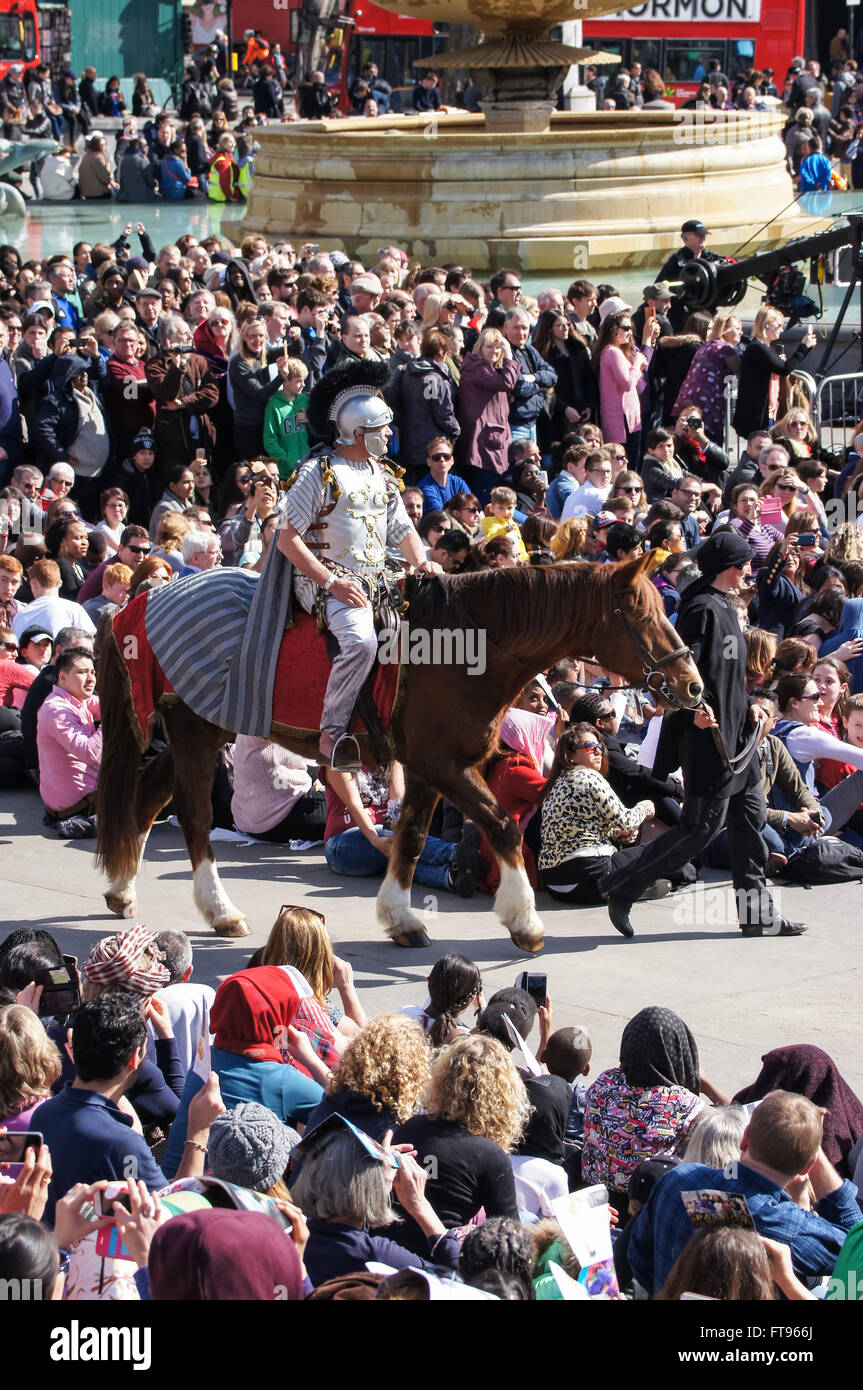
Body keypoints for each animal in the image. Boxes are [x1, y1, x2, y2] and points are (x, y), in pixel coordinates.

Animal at [95, 553, 700, 956]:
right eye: (639, 613)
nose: (692, 686)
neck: (469, 646)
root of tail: (146, 600)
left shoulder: (431, 769)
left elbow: (408, 838)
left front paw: (400, 917)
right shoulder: (446, 766)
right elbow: (503, 825)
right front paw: (523, 920)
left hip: (201, 727)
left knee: (148, 799)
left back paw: (123, 891)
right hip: (195, 733)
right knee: (195, 815)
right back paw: (220, 911)